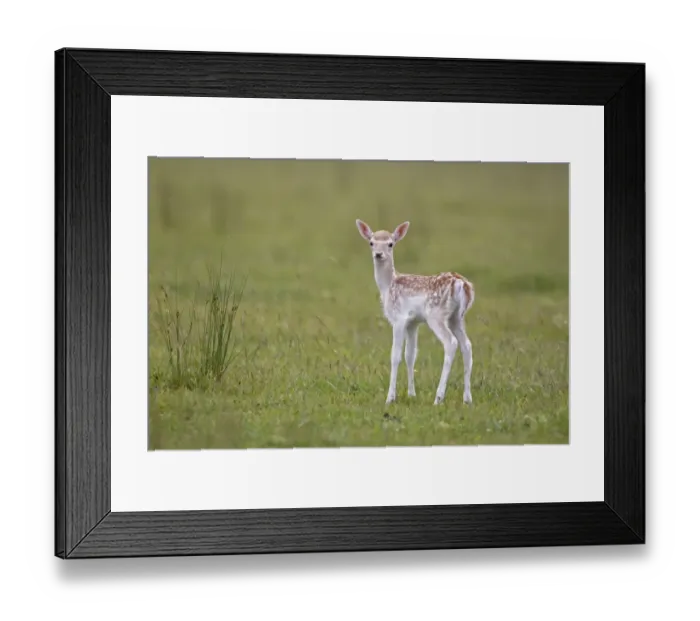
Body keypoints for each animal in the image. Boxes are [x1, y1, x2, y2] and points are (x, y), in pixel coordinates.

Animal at [355, 219, 475, 406]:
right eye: (371, 243)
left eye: (390, 243)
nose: (379, 254)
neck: (387, 287)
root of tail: (461, 284)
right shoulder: (413, 322)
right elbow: (410, 355)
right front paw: (412, 394)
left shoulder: (398, 318)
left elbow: (395, 355)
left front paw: (390, 398)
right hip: (457, 317)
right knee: (467, 345)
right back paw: (467, 398)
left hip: (436, 315)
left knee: (451, 343)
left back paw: (438, 398)